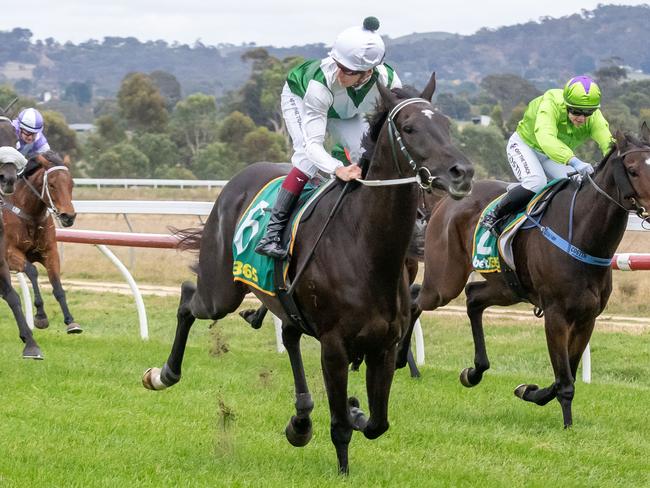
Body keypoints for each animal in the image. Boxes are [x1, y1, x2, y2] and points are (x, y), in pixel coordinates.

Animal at [2, 152, 79, 336]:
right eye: (51, 184)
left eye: (71, 184)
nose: (68, 217)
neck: (30, 215)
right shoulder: (9, 254)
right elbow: (32, 271)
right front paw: (41, 316)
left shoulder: (50, 252)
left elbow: (57, 284)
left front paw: (70, 321)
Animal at [143, 74, 470, 474]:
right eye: (409, 128)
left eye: (447, 125)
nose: (462, 173)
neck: (366, 248)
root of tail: (238, 179)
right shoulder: (334, 345)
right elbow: (341, 425)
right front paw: (344, 465)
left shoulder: (385, 345)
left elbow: (377, 423)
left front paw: (355, 410)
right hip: (220, 292)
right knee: (189, 297)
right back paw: (163, 374)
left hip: (284, 300)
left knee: (289, 333)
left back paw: (300, 420)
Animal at [404, 126, 648, 428]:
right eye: (633, 170)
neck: (582, 234)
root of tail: (445, 202)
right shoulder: (556, 314)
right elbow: (565, 380)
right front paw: (567, 426)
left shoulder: (587, 317)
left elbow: (564, 374)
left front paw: (528, 391)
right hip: (445, 281)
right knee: (416, 298)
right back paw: (401, 359)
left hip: (507, 287)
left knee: (473, 298)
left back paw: (473, 372)